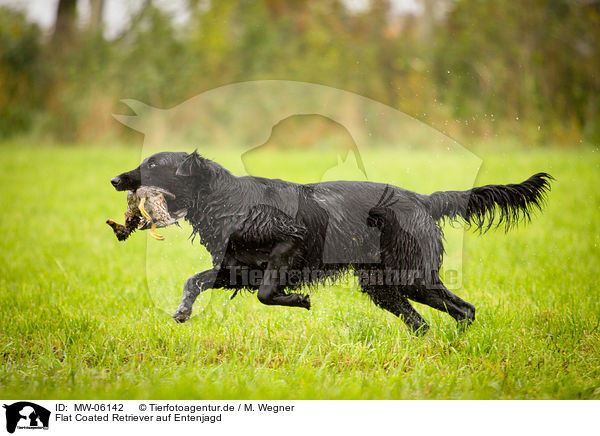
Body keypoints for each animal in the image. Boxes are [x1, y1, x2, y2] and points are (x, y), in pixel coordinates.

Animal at [110, 152, 552, 332]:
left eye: (153, 164)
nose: (115, 179)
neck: (228, 200)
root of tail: (422, 200)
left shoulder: (290, 243)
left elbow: (268, 292)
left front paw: (299, 300)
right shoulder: (238, 268)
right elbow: (195, 281)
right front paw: (182, 311)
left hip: (411, 276)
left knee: (465, 309)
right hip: (383, 285)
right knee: (423, 322)